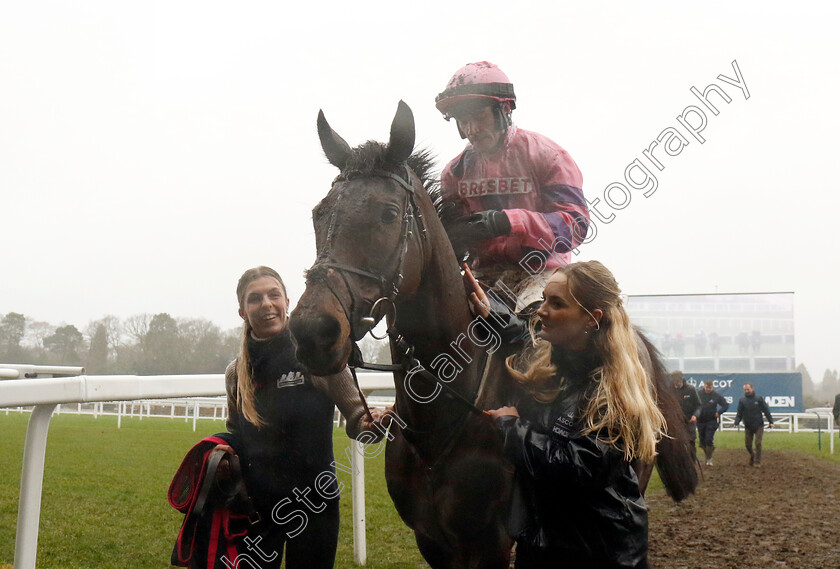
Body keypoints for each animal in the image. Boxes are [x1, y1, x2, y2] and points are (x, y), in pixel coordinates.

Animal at [288, 102, 696, 568]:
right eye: (319, 213)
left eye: (388, 213)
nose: (312, 330)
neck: (440, 416)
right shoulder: (432, 541)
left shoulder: (490, 545)